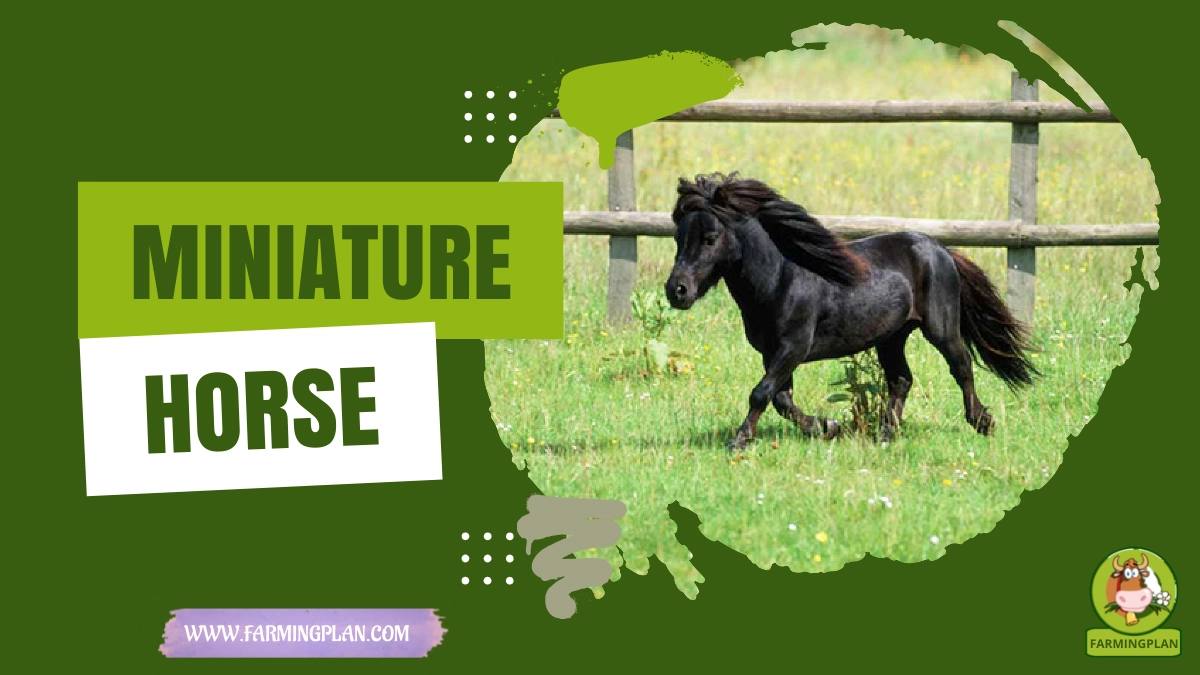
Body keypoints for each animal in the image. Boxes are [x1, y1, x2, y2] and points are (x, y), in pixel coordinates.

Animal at [664, 173, 1038, 449]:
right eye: (679, 238)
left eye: (711, 238)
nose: (676, 291)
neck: (780, 278)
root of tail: (941, 249)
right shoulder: (772, 353)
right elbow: (781, 400)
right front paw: (828, 427)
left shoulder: (793, 347)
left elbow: (761, 393)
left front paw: (739, 441)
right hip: (891, 336)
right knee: (901, 379)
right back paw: (886, 435)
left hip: (940, 328)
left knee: (961, 367)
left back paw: (982, 422)